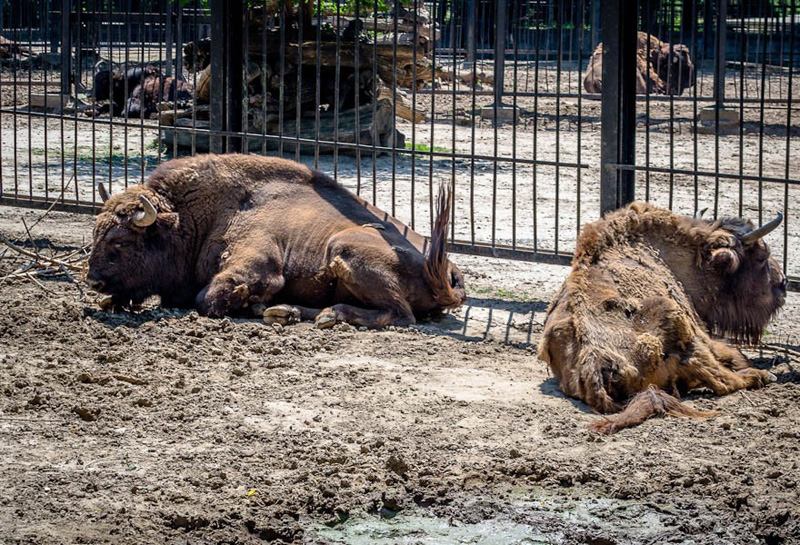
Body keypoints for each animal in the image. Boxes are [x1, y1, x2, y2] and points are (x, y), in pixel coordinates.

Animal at [86, 153, 466, 328]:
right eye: (96, 234)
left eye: (121, 242)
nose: (93, 280)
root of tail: (444, 268)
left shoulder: (257, 261)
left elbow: (210, 297)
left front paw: (247, 301)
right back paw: (285, 312)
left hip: (343, 249)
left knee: (399, 314)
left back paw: (326, 314)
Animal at [536, 203, 788, 434]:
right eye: (761, 257)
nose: (783, 283)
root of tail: (593, 363)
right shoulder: (703, 335)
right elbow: (733, 354)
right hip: (679, 324)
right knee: (723, 381)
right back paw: (763, 375)